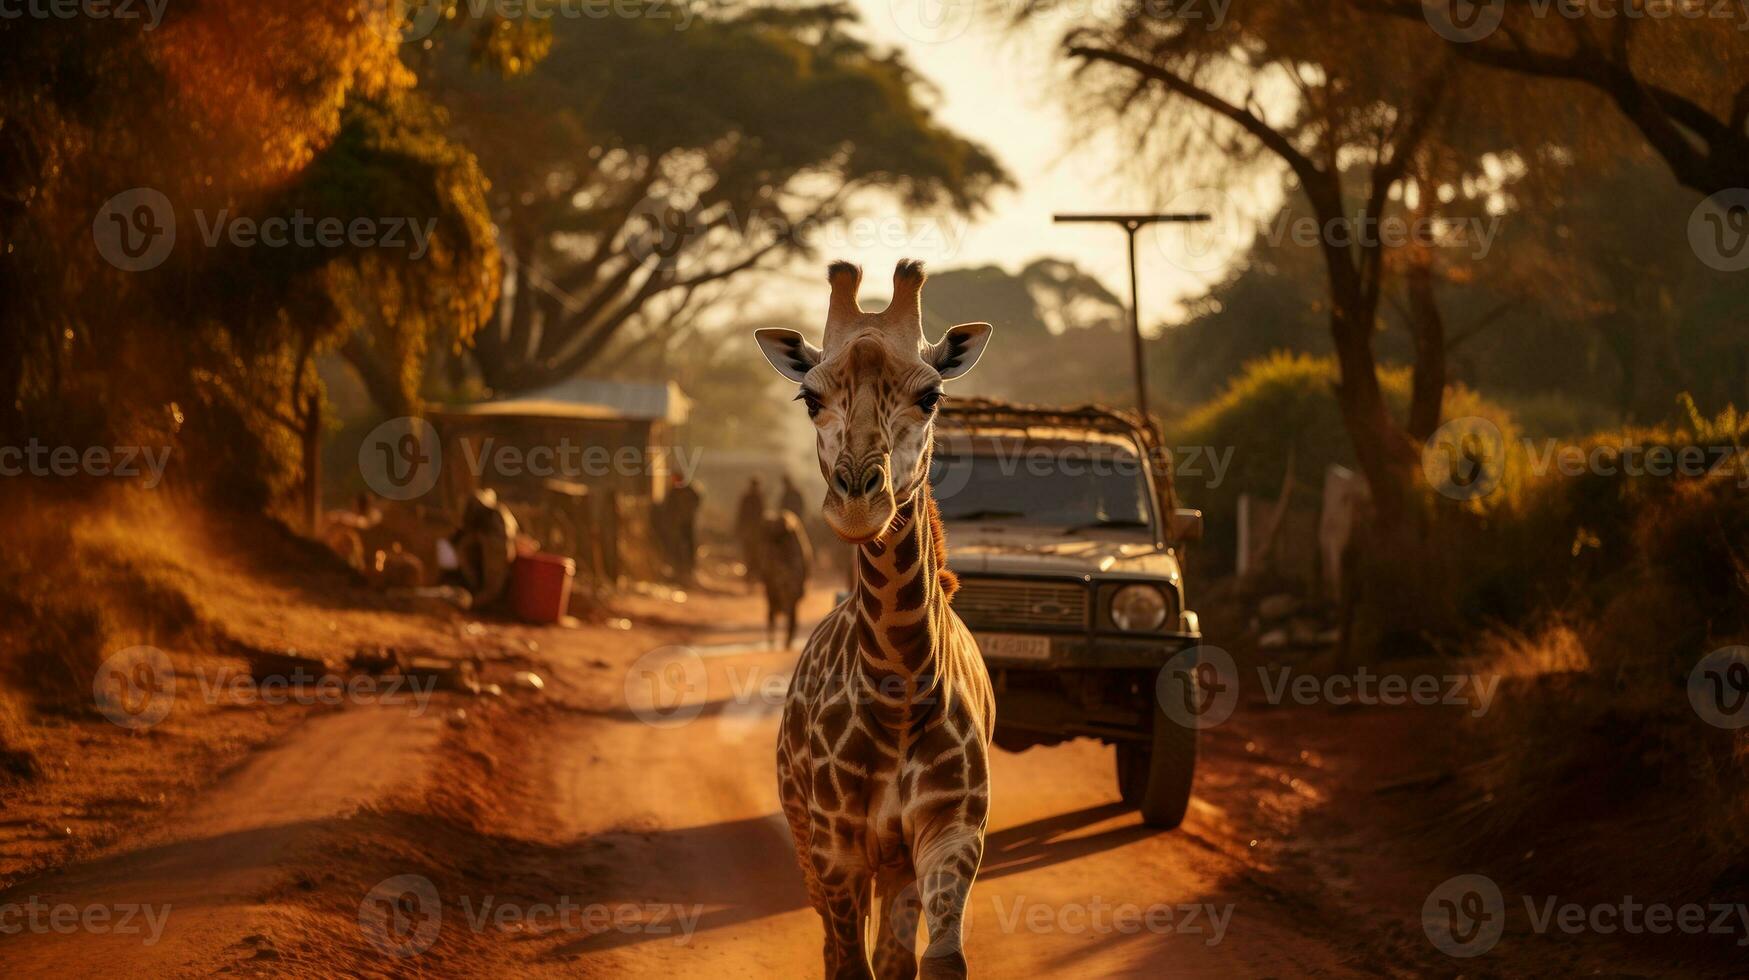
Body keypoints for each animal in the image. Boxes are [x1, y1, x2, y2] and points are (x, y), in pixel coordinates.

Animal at [752, 257, 1000, 973]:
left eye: (932, 396)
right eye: (809, 397)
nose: (859, 505)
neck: (900, 694)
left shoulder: (952, 834)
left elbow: (937, 962)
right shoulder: (836, 848)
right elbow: (849, 965)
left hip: (897, 867)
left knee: (892, 953)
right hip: (813, 843)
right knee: (834, 948)